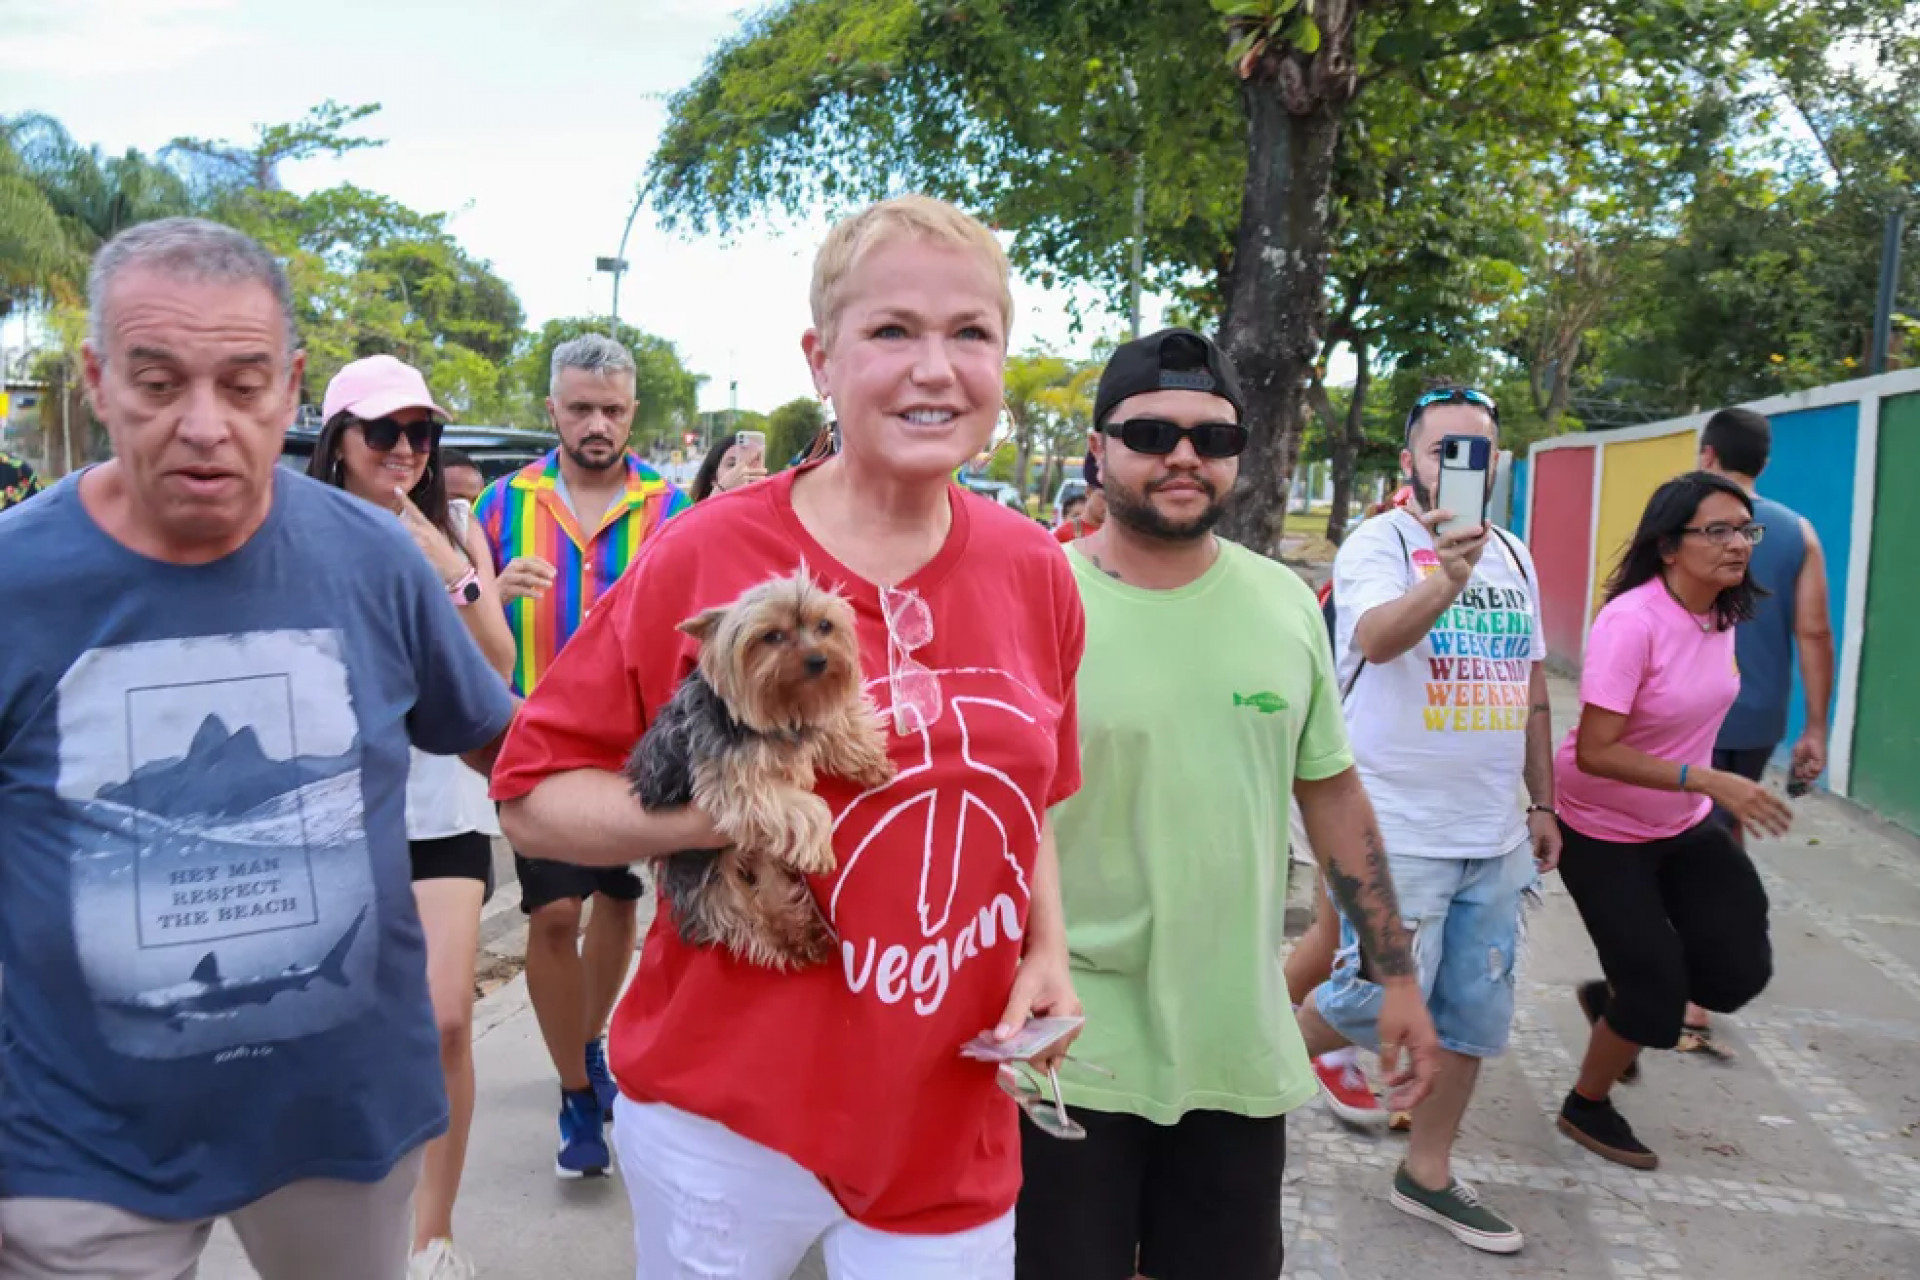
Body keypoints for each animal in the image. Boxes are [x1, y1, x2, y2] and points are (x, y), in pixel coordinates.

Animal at [629, 571, 898, 971]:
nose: (818, 660)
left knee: (772, 891)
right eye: (772, 636)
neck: (783, 708)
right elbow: (807, 806)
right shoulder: (733, 781)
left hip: (760, 860)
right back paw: (784, 940)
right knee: (740, 916)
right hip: (709, 875)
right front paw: (821, 847)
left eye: (824, 626)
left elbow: (836, 720)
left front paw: (869, 760)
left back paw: (803, 937)